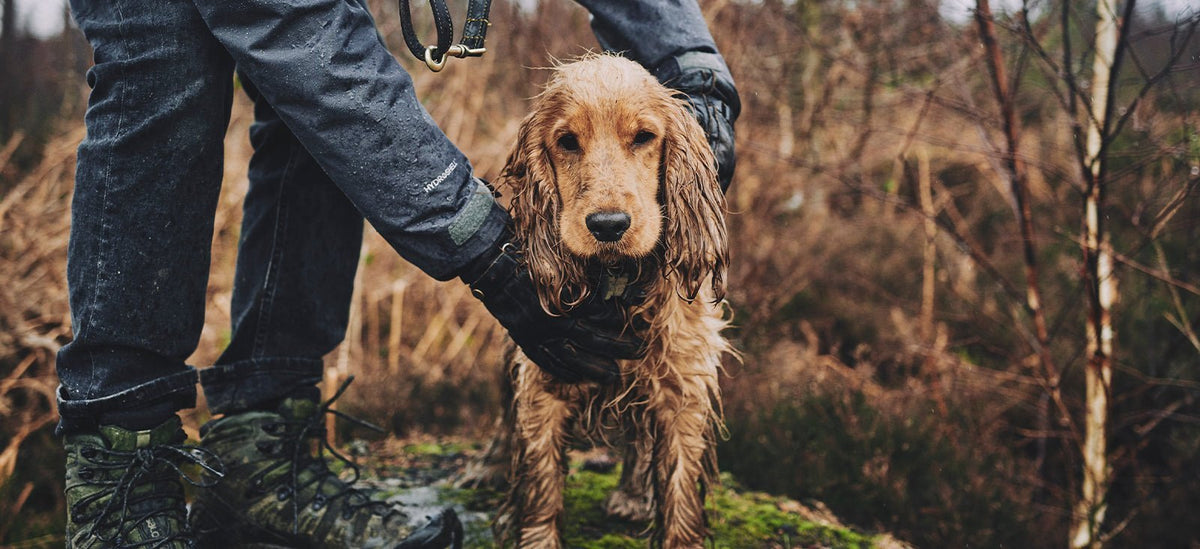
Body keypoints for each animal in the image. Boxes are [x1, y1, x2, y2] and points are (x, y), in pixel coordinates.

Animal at [465, 52, 729, 549]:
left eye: (644, 137)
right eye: (567, 142)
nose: (609, 225)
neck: (617, 281)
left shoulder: (683, 387)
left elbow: (680, 493)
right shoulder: (544, 372)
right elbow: (540, 486)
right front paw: (530, 530)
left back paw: (632, 496)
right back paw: (489, 468)